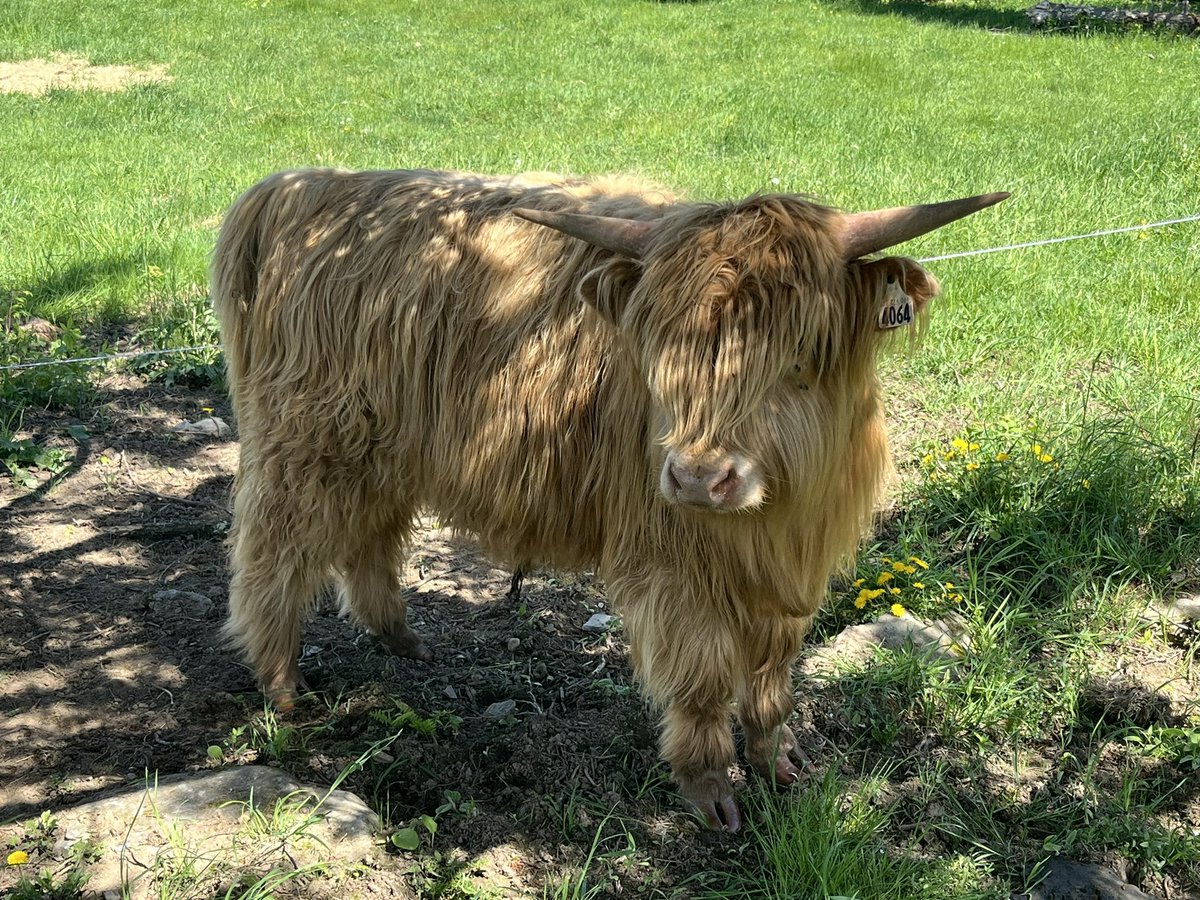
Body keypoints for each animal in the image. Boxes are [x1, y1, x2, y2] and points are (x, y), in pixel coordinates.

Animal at [211, 168, 1006, 830]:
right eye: (659, 349)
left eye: (801, 355)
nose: (697, 479)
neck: (775, 513)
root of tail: (301, 185)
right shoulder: (676, 566)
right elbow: (702, 677)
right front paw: (712, 793)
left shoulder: (795, 568)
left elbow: (772, 678)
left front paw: (779, 761)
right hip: (306, 445)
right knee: (274, 555)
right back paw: (284, 687)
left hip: (385, 452)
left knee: (368, 537)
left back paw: (403, 641)